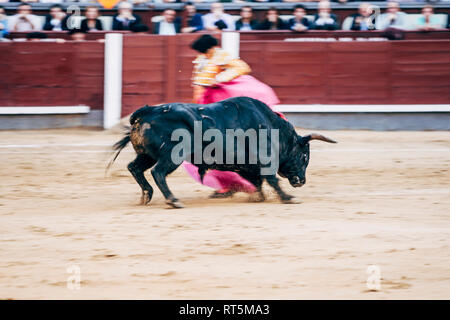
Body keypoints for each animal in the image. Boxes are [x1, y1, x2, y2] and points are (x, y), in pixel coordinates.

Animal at [109, 96, 336, 209]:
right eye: (304, 156)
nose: (301, 181)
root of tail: (147, 111)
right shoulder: (263, 160)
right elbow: (272, 180)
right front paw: (288, 198)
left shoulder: (247, 166)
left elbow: (258, 183)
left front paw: (258, 198)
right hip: (173, 155)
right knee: (158, 172)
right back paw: (173, 200)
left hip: (146, 155)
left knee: (134, 167)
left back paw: (146, 196)